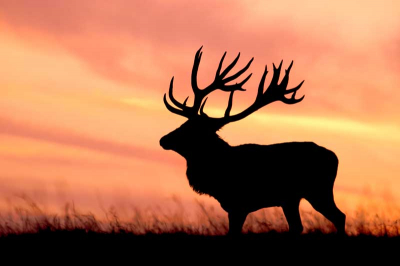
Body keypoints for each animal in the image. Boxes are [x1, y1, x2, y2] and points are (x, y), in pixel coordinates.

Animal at [159, 46, 346, 236]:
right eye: (184, 123)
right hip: (292, 198)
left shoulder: (239, 205)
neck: (216, 176)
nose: (163, 139)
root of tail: (335, 157)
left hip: (318, 190)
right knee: (300, 225)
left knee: (339, 216)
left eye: (192, 130)